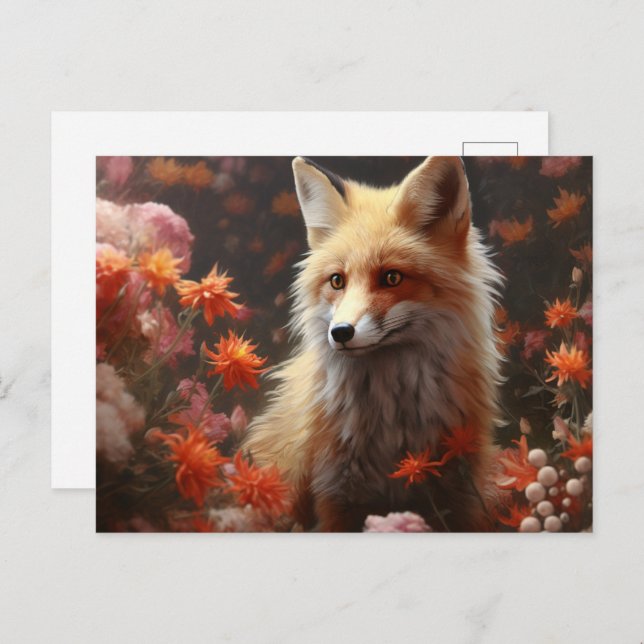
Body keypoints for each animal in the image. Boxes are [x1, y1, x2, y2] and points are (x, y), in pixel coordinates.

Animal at [244, 156, 503, 532]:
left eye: (392, 277)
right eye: (337, 281)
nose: (340, 333)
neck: (393, 424)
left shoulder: (461, 489)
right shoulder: (335, 493)